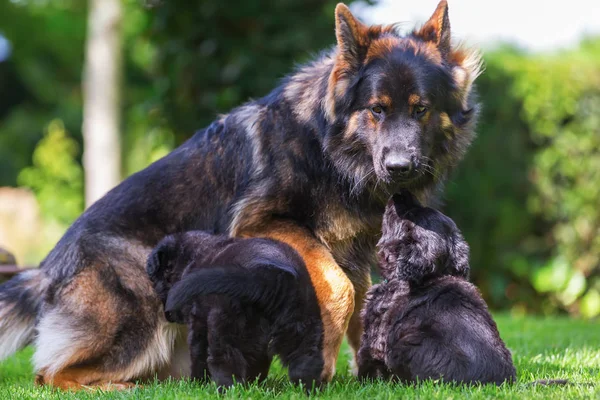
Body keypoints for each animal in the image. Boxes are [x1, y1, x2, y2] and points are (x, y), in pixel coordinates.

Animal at [145, 231, 324, 388]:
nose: (167, 315)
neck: (193, 256)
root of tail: (268, 276)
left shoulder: (198, 324)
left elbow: (198, 356)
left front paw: (196, 384)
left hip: (226, 323)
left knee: (226, 360)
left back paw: (227, 390)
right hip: (303, 325)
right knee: (306, 361)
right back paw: (307, 390)